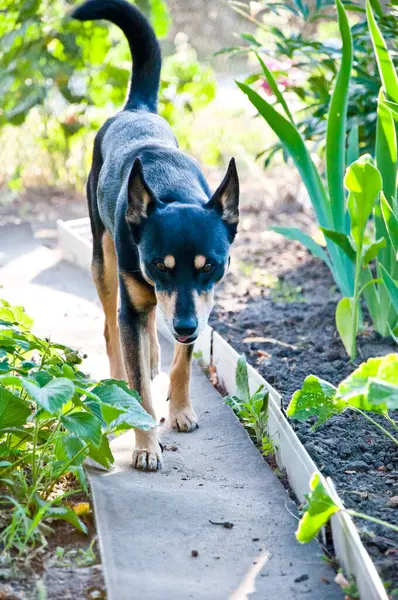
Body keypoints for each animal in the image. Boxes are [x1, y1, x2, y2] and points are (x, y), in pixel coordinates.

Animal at [71, 0, 239, 468]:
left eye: (209, 266)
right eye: (158, 266)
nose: (182, 326)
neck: (171, 190)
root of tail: (136, 110)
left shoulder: (200, 306)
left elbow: (183, 363)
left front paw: (180, 410)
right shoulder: (141, 299)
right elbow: (140, 390)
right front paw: (146, 446)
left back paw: (152, 355)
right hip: (104, 263)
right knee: (114, 330)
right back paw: (122, 376)